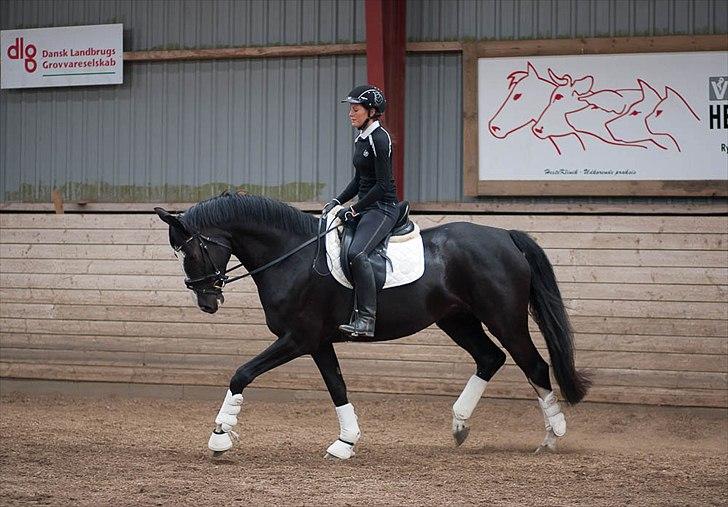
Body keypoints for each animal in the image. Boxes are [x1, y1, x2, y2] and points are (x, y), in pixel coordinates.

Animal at [155, 192, 592, 458]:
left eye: (191, 250)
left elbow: (241, 373)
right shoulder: (317, 342)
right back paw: (459, 425)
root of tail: (505, 235)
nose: (207, 302)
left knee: (533, 365)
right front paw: (345, 443)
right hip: (456, 319)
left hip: (504, 318)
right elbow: (337, 387)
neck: (291, 255)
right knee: (490, 358)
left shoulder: (298, 338)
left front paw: (220, 436)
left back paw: (552, 437)